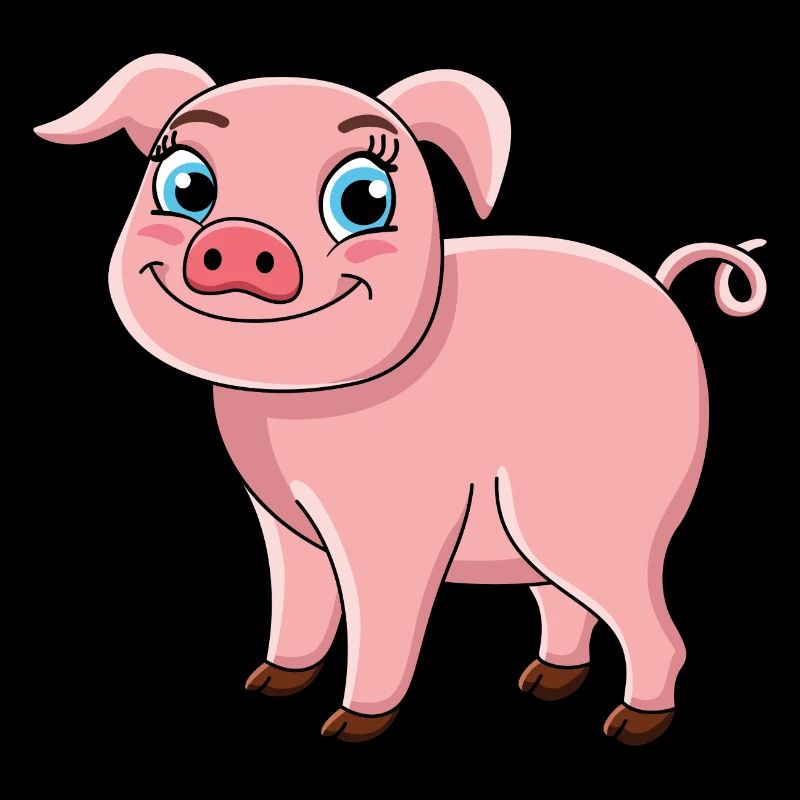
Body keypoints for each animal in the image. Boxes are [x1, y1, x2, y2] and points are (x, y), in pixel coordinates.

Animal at [36, 54, 767, 746]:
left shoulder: (395, 516)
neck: (282, 409)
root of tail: (665, 287)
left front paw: (346, 728)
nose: (241, 240)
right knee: (562, 600)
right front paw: (268, 685)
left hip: (596, 510)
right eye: (185, 185)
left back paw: (630, 726)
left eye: (364, 199)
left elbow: (382, 610)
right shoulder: (279, 520)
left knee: (647, 621)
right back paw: (541, 685)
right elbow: (299, 601)